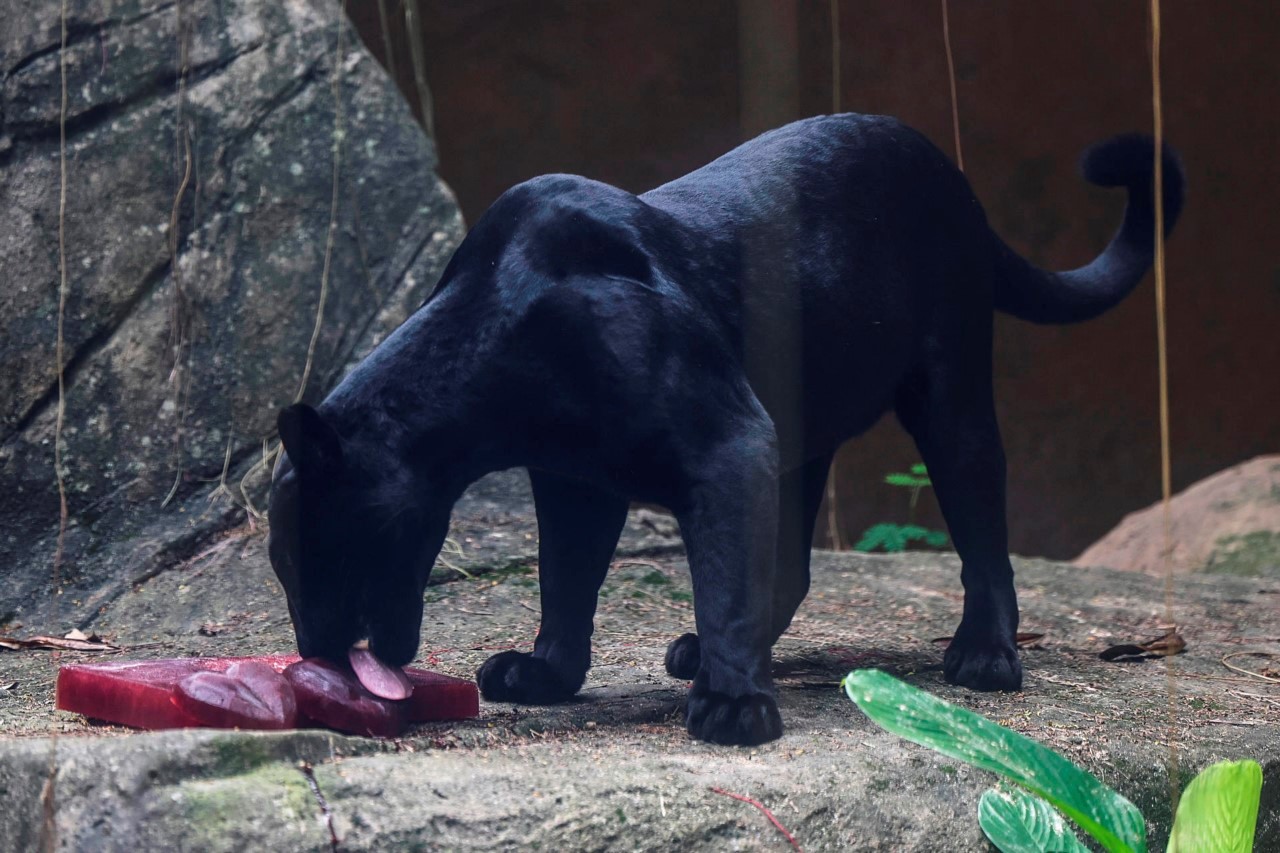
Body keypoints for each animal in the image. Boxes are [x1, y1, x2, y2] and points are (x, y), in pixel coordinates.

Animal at [267, 113, 1183, 745]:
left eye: (312, 551)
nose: (315, 653)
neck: (493, 363)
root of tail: (948, 173)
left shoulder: (727, 442)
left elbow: (722, 575)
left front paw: (735, 706)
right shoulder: (575, 481)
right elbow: (568, 579)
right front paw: (547, 671)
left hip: (948, 391)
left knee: (981, 526)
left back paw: (986, 657)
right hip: (804, 435)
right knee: (792, 565)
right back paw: (696, 649)